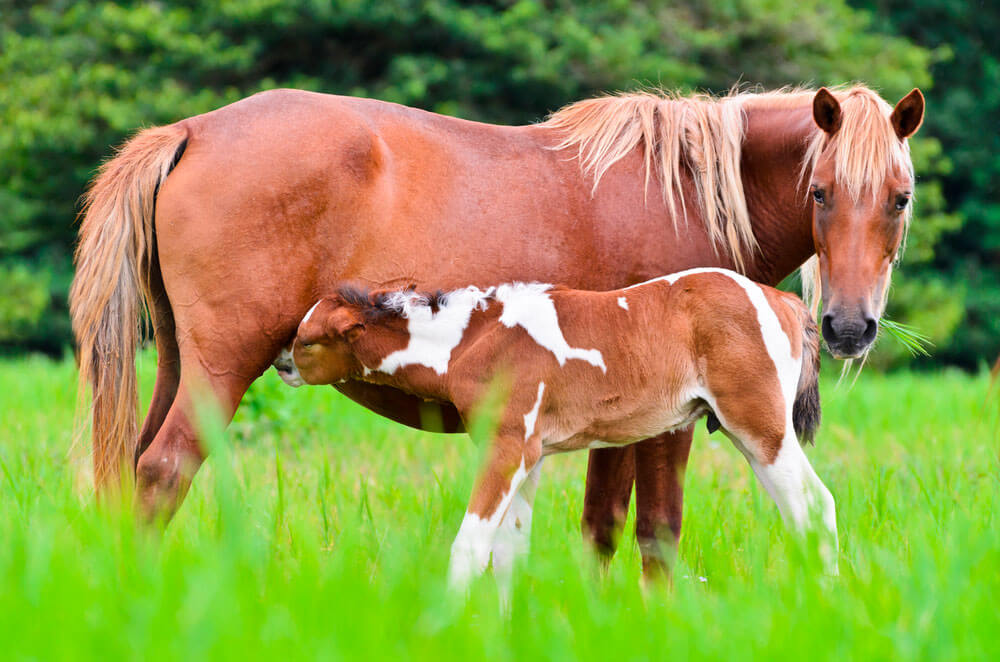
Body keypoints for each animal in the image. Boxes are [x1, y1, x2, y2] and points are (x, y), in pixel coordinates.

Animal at [276, 268, 836, 588]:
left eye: (308, 340)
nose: (281, 363)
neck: (471, 341)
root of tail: (783, 301)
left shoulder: (508, 449)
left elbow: (470, 546)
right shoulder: (532, 454)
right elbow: (510, 551)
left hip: (760, 426)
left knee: (815, 504)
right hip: (747, 434)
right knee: (803, 510)